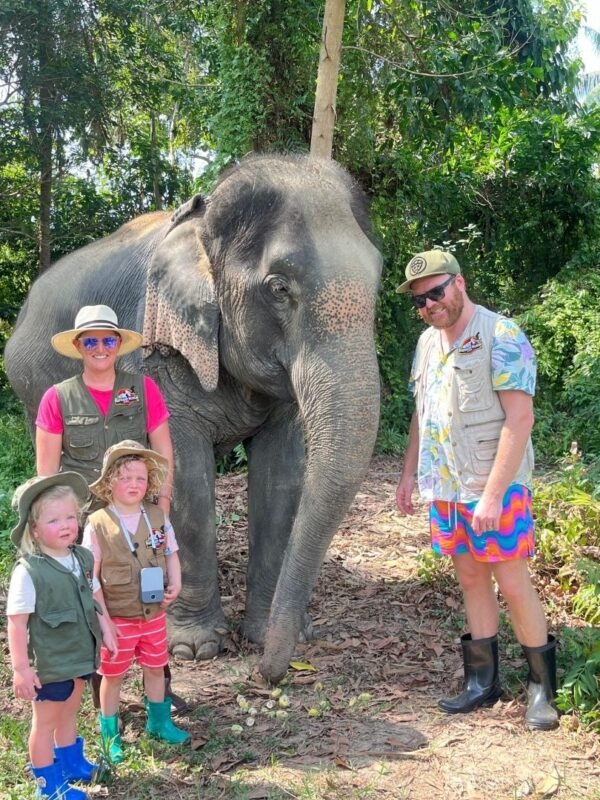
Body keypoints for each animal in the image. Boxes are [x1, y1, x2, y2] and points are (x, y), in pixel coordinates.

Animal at [5, 152, 380, 680]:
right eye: (278, 287)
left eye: (380, 284)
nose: (270, 673)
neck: (203, 225)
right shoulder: (158, 351)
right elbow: (182, 474)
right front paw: (193, 649)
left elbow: (282, 475)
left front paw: (263, 634)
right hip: (31, 389)